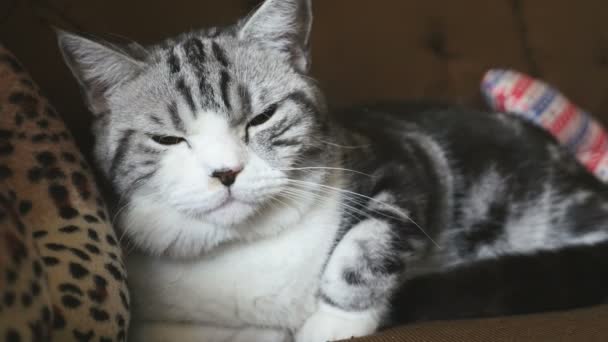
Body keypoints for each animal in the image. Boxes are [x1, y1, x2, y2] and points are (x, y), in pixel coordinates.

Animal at [57, 0, 608, 340]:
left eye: (262, 117)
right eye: (169, 139)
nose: (226, 172)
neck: (246, 247)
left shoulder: (408, 160)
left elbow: (367, 243)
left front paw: (333, 323)